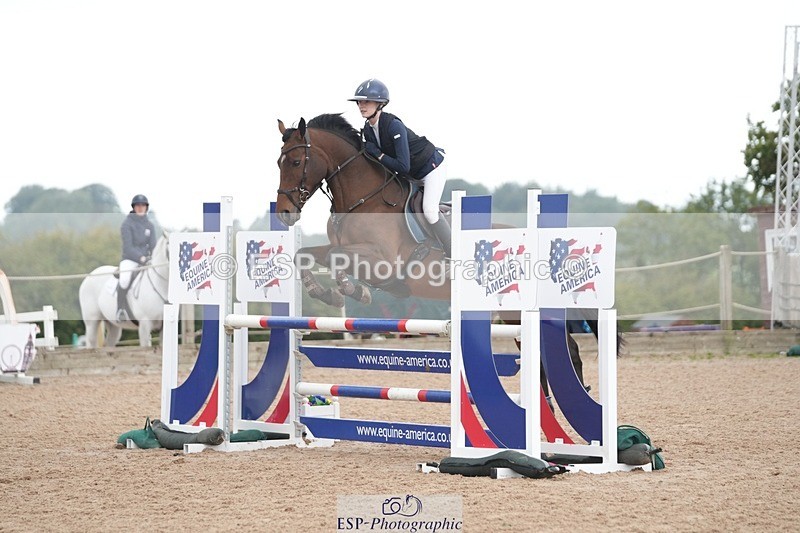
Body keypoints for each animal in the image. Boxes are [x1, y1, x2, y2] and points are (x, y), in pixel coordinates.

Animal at [275, 114, 619, 395]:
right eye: (278, 163)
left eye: (296, 162)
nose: (284, 213)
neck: (362, 199)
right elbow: (305, 255)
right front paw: (325, 293)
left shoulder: (381, 261)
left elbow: (338, 258)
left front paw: (353, 291)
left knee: (565, 350)